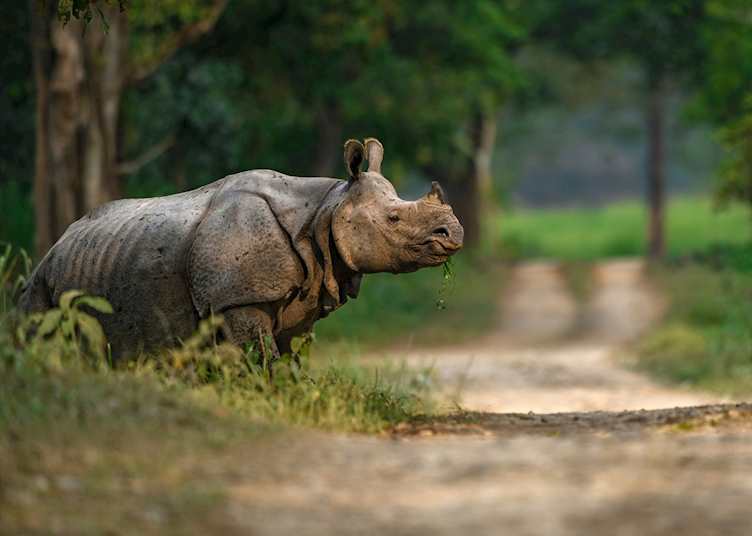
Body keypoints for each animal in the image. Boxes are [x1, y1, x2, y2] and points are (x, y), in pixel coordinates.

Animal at [19, 138, 464, 361]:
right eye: (394, 219)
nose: (454, 233)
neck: (325, 211)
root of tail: (56, 244)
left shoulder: (304, 293)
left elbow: (289, 359)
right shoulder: (238, 299)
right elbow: (261, 358)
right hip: (41, 281)